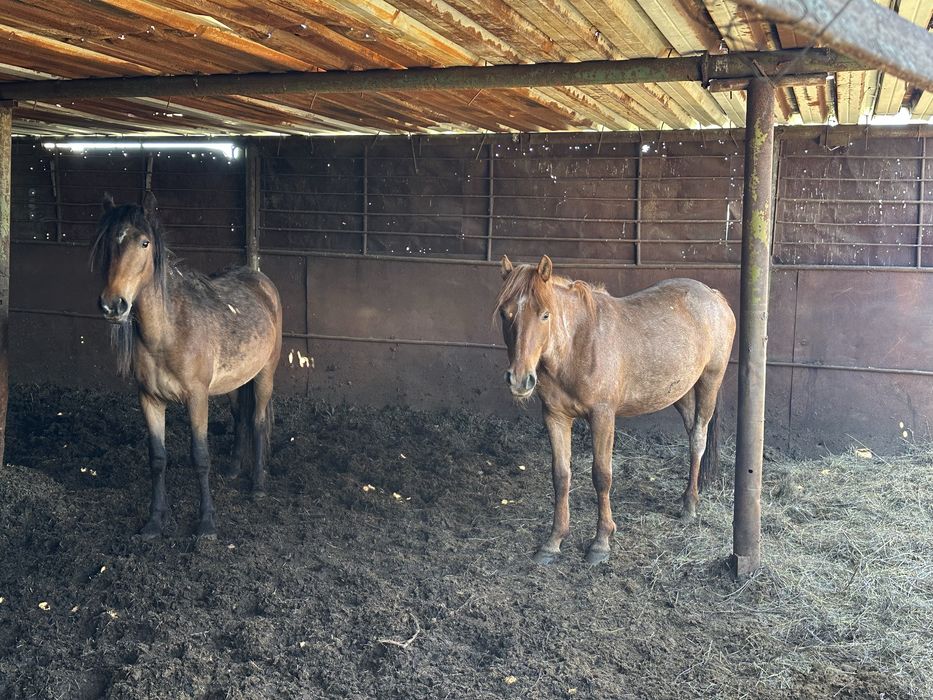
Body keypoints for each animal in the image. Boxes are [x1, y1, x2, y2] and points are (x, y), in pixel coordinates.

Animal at [92, 192, 283, 539]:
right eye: (108, 243)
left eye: (144, 243)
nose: (113, 305)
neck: (167, 333)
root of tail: (260, 279)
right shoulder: (149, 399)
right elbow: (157, 458)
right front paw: (154, 521)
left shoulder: (197, 397)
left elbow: (200, 456)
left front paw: (206, 524)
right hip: (233, 382)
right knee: (240, 417)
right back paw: (234, 469)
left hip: (265, 374)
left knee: (258, 420)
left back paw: (258, 486)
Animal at [495, 255, 735, 565]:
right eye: (505, 313)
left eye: (545, 315)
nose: (519, 379)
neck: (577, 346)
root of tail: (713, 295)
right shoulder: (555, 417)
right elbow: (561, 476)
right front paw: (553, 542)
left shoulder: (603, 417)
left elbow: (602, 476)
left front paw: (601, 542)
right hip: (679, 392)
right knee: (693, 432)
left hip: (709, 381)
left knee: (698, 438)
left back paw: (690, 506)